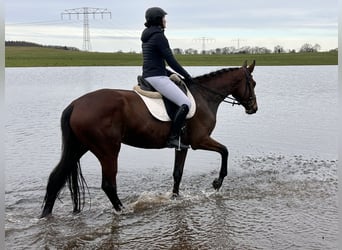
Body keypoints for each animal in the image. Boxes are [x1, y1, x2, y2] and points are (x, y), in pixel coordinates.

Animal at [40, 60, 256, 217]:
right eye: (252, 84)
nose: (254, 108)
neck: (204, 97)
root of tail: (75, 104)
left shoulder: (182, 145)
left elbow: (177, 173)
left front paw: (175, 198)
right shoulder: (199, 140)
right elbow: (225, 151)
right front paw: (217, 183)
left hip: (79, 147)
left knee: (56, 178)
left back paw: (45, 215)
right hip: (108, 151)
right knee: (108, 185)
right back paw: (123, 210)